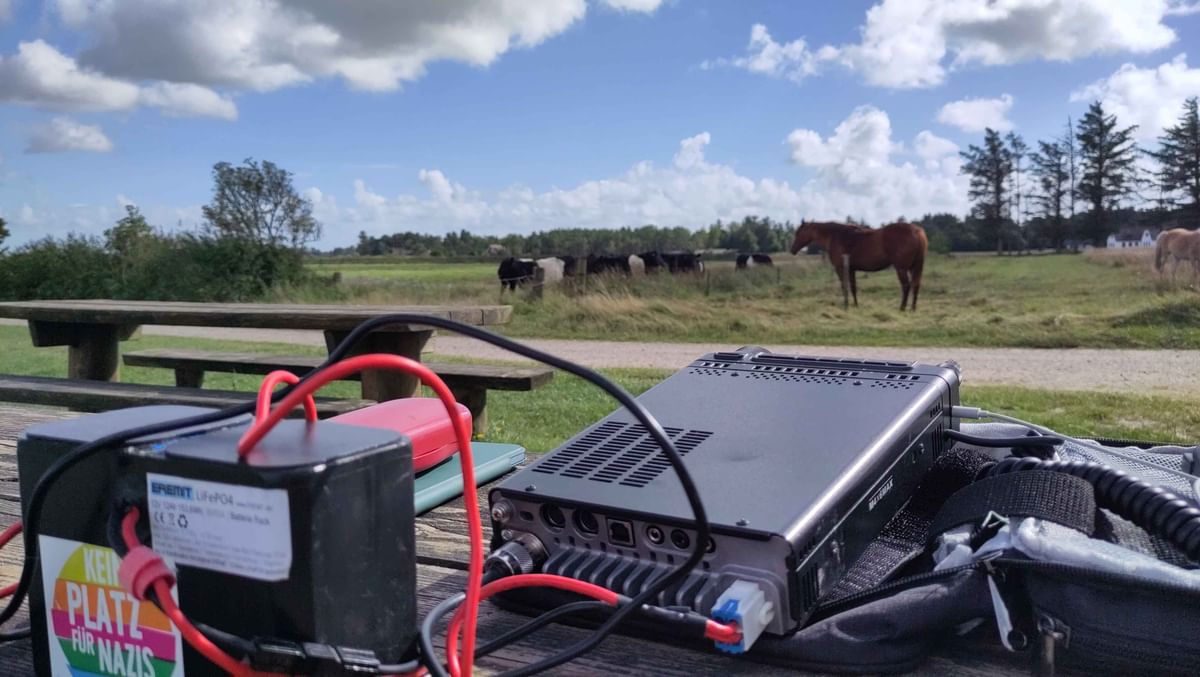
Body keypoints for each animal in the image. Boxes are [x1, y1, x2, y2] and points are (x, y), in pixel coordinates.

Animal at [790, 221, 928, 311]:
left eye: (798, 233)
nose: (792, 250)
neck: (835, 235)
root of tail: (917, 231)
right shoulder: (851, 269)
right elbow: (853, 287)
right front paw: (856, 305)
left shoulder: (840, 268)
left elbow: (844, 286)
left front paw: (846, 306)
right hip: (914, 268)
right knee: (916, 285)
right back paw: (913, 308)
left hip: (901, 268)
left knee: (906, 286)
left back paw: (902, 308)